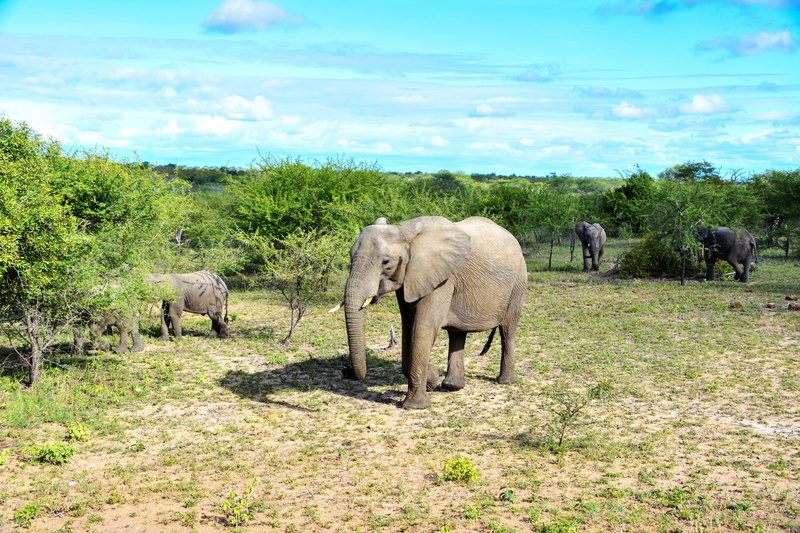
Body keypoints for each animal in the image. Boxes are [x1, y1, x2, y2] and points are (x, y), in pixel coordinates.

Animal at [337, 216, 527, 409]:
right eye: (350, 256)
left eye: (385, 262)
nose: (345, 370)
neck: (404, 230)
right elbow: (408, 326)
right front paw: (431, 378)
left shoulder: (441, 279)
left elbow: (423, 328)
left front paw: (416, 405)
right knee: (457, 333)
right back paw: (452, 386)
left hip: (518, 280)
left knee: (507, 329)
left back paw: (506, 381)